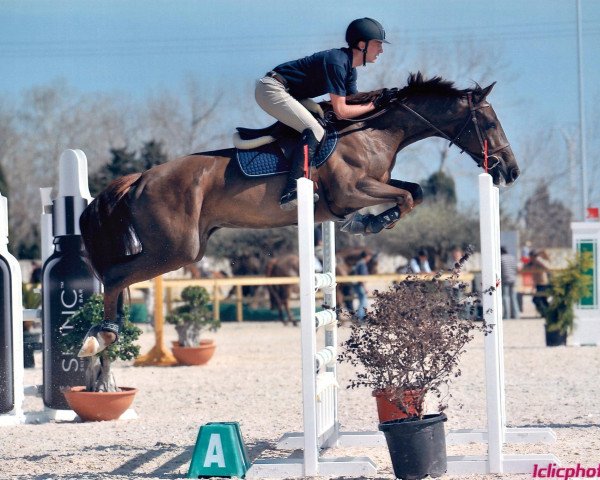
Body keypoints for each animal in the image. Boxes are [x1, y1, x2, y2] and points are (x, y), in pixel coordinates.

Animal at [78, 72, 520, 356]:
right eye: (488, 122)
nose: (510, 171)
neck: (373, 133)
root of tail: (139, 179)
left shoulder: (373, 185)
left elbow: (415, 191)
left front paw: (369, 221)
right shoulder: (349, 192)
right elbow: (405, 198)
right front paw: (370, 222)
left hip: (186, 248)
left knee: (118, 274)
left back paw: (107, 332)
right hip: (176, 250)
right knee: (115, 274)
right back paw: (102, 336)